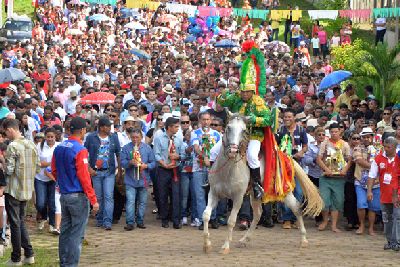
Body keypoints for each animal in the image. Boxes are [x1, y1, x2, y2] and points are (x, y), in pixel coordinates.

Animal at [203, 113, 322, 255]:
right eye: (228, 128)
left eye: (244, 130)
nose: (233, 150)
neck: (228, 170)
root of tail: (287, 156)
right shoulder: (214, 193)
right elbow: (206, 215)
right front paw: (207, 245)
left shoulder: (238, 197)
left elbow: (231, 221)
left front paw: (225, 246)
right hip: (255, 195)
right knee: (258, 213)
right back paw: (244, 240)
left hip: (284, 192)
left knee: (296, 208)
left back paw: (303, 240)